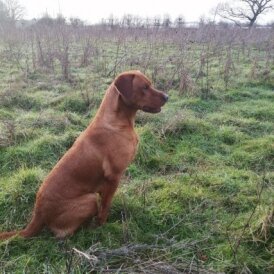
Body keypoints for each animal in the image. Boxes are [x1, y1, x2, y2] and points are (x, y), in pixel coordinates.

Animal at [0, 70, 167, 240]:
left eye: (150, 84)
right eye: (144, 87)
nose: (167, 97)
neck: (118, 123)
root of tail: (38, 214)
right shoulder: (113, 177)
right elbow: (105, 207)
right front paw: (102, 226)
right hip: (89, 199)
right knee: (65, 233)